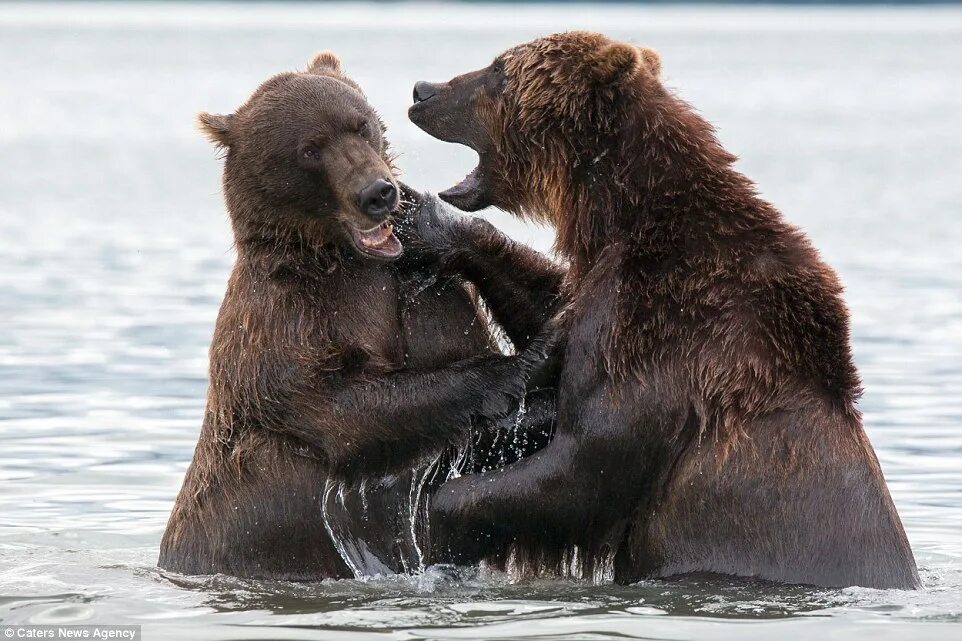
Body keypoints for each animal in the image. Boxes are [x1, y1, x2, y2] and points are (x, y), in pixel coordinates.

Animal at [159, 51, 564, 580]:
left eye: (362, 125)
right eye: (310, 149)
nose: (377, 192)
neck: (341, 260)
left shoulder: (419, 291)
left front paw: (431, 223)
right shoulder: (278, 327)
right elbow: (348, 409)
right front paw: (533, 360)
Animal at [408, 31, 920, 592]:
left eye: (500, 70)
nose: (422, 90)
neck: (618, 218)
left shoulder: (663, 332)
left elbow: (586, 464)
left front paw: (434, 528)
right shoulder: (605, 296)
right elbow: (553, 313)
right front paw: (428, 222)